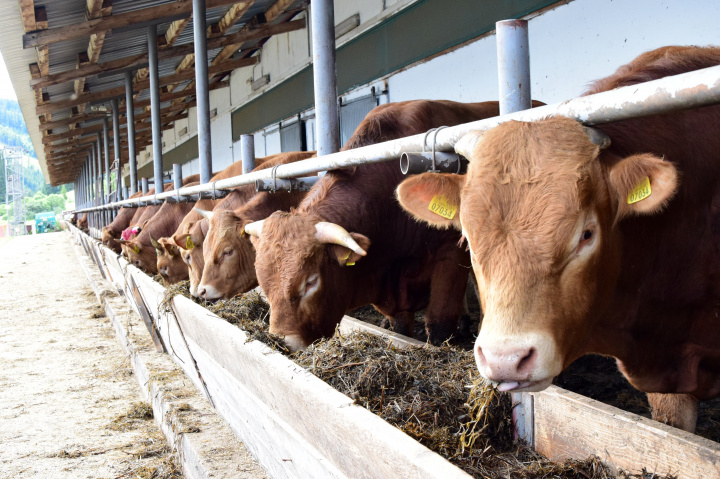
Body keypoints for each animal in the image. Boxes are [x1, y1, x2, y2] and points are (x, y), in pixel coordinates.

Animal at [242, 100, 540, 352]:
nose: (283, 342)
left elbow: (440, 325)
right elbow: (400, 327)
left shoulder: (449, 253)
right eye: (263, 283)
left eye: (310, 282)